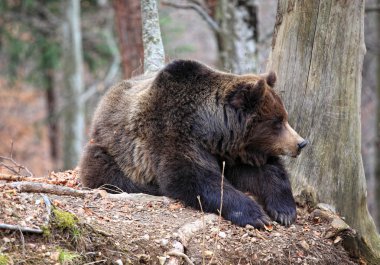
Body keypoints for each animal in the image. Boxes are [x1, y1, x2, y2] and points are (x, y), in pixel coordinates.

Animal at [78, 59, 308, 227]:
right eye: (277, 122)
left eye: (284, 117)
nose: (301, 143)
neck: (210, 130)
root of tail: (103, 101)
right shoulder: (173, 133)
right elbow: (193, 177)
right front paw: (255, 214)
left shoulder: (233, 152)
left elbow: (266, 172)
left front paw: (284, 211)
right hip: (111, 149)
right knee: (107, 173)